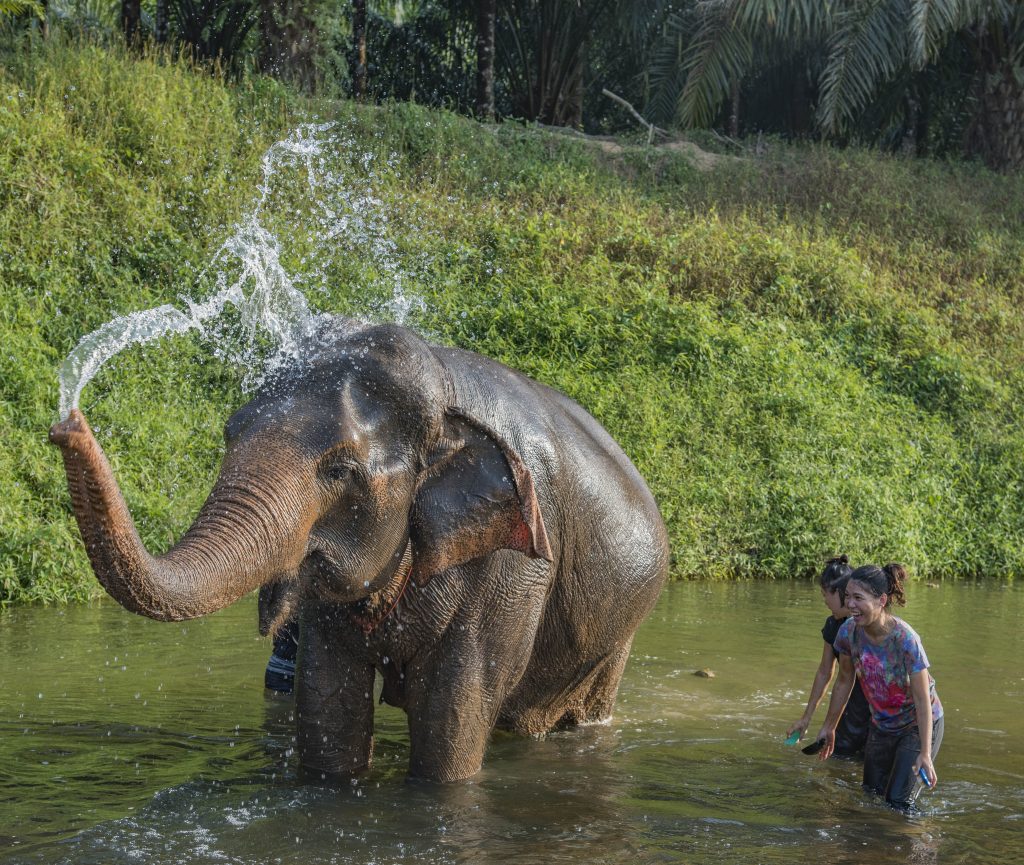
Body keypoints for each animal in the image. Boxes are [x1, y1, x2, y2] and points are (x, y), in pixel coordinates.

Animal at [50, 316, 669, 782]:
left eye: (340, 470)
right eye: (230, 432)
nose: (66, 422)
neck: (444, 396)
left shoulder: (510, 568)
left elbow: (452, 717)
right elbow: (328, 707)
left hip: (617, 637)